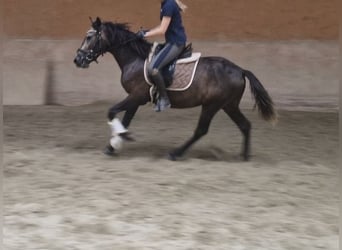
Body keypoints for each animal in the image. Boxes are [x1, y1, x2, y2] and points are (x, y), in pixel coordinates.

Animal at [73, 18, 276, 162]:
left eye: (89, 37)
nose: (78, 60)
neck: (135, 59)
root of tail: (240, 69)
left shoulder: (136, 96)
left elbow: (111, 111)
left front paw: (118, 140)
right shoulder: (136, 98)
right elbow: (126, 119)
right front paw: (114, 144)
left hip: (212, 105)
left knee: (201, 130)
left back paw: (176, 153)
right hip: (229, 105)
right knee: (245, 125)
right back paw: (244, 156)